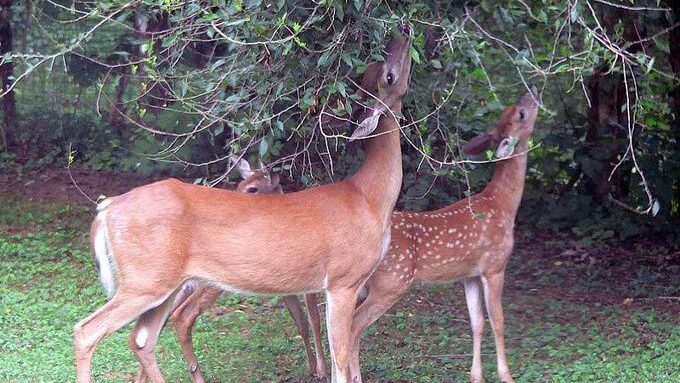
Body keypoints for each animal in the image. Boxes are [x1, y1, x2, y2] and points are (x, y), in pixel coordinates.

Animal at [131, 157, 330, 383]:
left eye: (253, 188)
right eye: (240, 185)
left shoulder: (288, 287)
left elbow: (303, 322)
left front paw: (313, 367)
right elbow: (314, 319)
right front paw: (322, 370)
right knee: (180, 316)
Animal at [348, 93, 540, 383]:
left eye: (511, 110)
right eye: (520, 113)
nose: (530, 95)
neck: (503, 204)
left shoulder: (470, 274)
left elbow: (476, 322)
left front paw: (476, 376)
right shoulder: (495, 265)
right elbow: (498, 321)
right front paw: (506, 376)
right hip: (390, 281)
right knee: (353, 327)